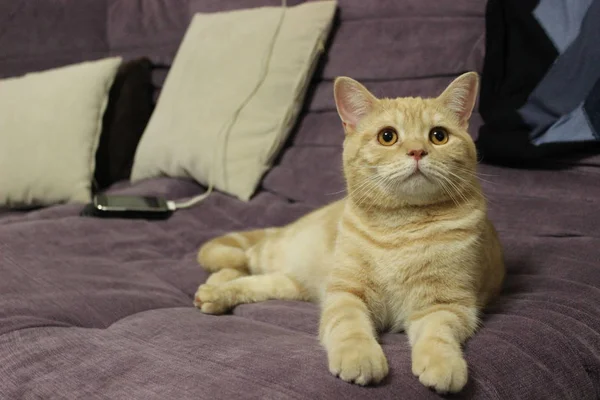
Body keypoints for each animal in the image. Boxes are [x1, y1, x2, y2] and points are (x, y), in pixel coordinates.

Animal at [195, 72, 504, 394]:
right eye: (387, 136)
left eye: (439, 136)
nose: (418, 151)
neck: (401, 227)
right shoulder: (346, 293)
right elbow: (350, 327)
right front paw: (360, 357)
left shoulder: (447, 305)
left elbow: (438, 334)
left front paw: (443, 364)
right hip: (278, 255)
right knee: (242, 260)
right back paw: (213, 286)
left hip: (293, 283)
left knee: (256, 280)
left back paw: (214, 292)